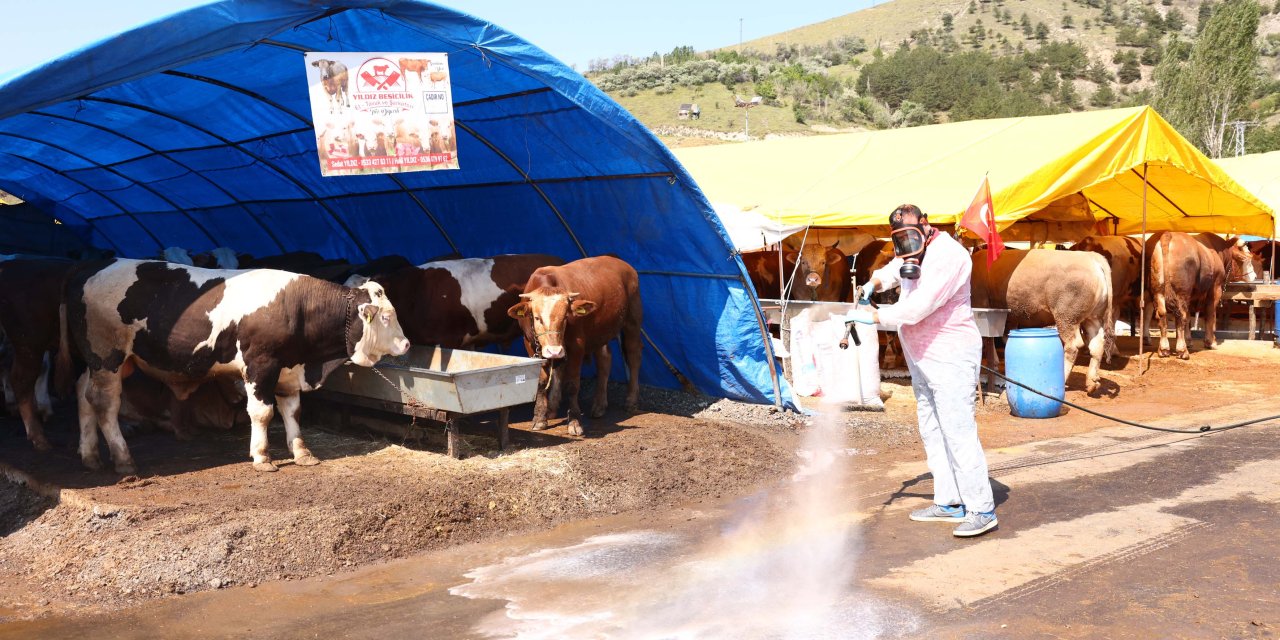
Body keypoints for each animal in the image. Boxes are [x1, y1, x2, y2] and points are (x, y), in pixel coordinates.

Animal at [60, 257, 409, 473]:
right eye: (387, 317)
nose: (406, 344)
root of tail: (90, 267)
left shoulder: (289, 370)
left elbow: (293, 412)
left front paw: (302, 453)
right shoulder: (261, 366)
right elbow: (263, 413)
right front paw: (262, 456)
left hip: (101, 362)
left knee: (83, 396)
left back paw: (90, 455)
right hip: (108, 356)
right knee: (105, 404)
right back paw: (123, 459)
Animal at [506, 254, 645, 435]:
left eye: (566, 316)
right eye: (537, 318)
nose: (554, 351)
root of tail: (616, 259)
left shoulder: (577, 345)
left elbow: (572, 384)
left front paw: (574, 421)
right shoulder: (529, 344)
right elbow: (542, 381)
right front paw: (540, 417)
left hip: (632, 320)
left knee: (634, 354)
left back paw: (631, 400)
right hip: (600, 331)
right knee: (604, 359)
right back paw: (599, 405)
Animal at [972, 249, 1116, 394]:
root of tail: (1091, 256)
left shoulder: (982, 305)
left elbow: (986, 339)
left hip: (1066, 317)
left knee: (1073, 346)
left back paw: (1062, 381)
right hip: (1092, 317)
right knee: (1097, 344)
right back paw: (1092, 383)